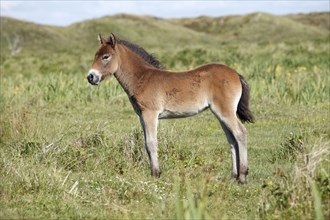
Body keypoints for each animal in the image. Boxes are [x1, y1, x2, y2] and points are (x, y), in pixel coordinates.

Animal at [86, 33, 254, 184]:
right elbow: (146, 143)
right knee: (232, 139)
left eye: (106, 57)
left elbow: (151, 143)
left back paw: (243, 177)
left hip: (225, 112)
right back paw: (233, 177)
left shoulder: (150, 114)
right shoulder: (141, 116)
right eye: (95, 55)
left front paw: (156, 174)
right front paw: (154, 172)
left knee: (241, 133)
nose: (91, 77)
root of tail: (235, 73)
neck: (142, 78)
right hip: (220, 114)